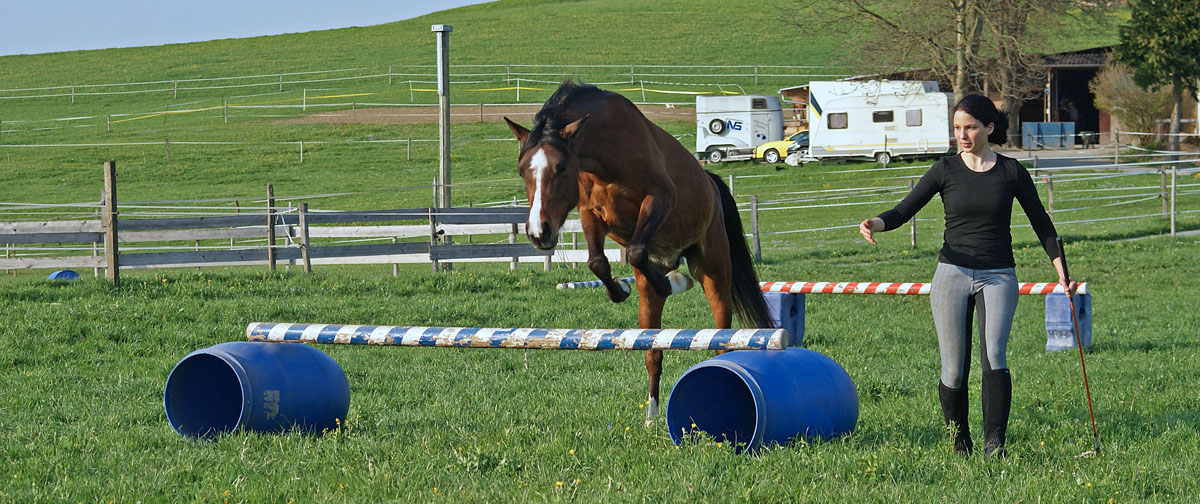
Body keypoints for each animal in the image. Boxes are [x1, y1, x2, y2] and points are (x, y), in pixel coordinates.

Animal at [501, 79, 772, 424]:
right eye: (522, 170)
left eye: (561, 166)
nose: (539, 232)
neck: (605, 156)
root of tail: (711, 182)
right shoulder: (591, 214)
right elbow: (597, 262)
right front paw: (621, 289)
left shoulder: (658, 200)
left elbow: (636, 251)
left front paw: (671, 284)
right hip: (653, 299)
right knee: (653, 348)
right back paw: (651, 417)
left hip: (713, 268)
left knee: (720, 337)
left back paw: (678, 284)